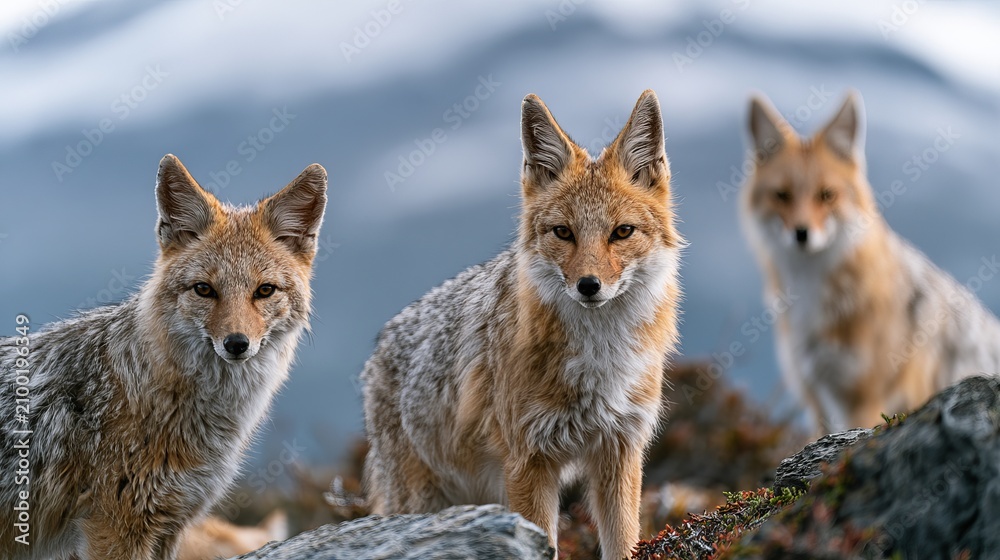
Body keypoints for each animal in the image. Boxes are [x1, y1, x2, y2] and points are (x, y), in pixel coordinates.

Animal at [361, 90, 683, 560]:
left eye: (622, 232)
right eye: (563, 233)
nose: (589, 286)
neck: (599, 358)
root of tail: (380, 346)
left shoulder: (620, 451)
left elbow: (623, 542)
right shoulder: (528, 462)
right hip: (427, 499)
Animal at [741, 91, 1000, 434]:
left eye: (826, 195)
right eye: (782, 195)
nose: (801, 234)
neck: (811, 297)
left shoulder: (864, 400)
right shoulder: (816, 398)